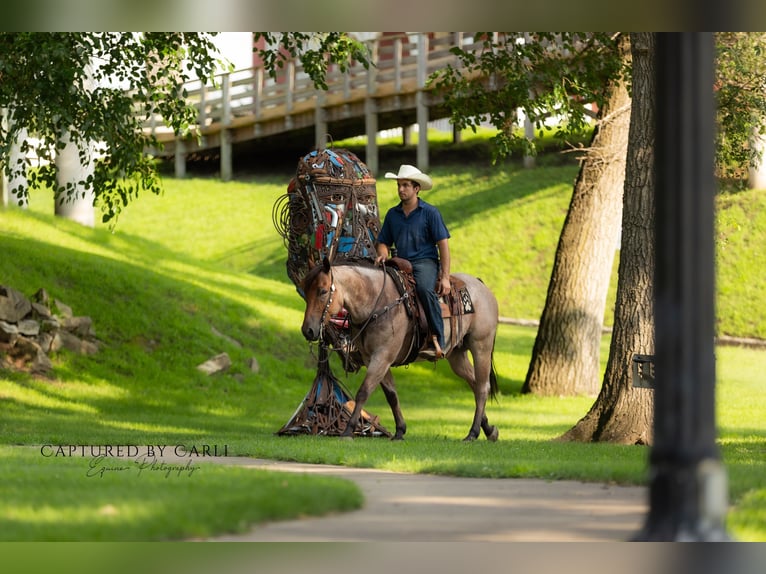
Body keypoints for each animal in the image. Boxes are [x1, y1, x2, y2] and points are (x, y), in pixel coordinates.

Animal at [300, 257, 500, 442]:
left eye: (323, 291)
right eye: (305, 291)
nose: (307, 330)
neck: (378, 302)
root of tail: (481, 285)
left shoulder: (382, 357)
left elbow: (364, 391)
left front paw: (348, 430)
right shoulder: (373, 359)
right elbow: (391, 394)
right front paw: (400, 431)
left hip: (481, 346)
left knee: (482, 387)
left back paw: (473, 433)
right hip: (456, 355)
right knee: (474, 383)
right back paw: (489, 429)